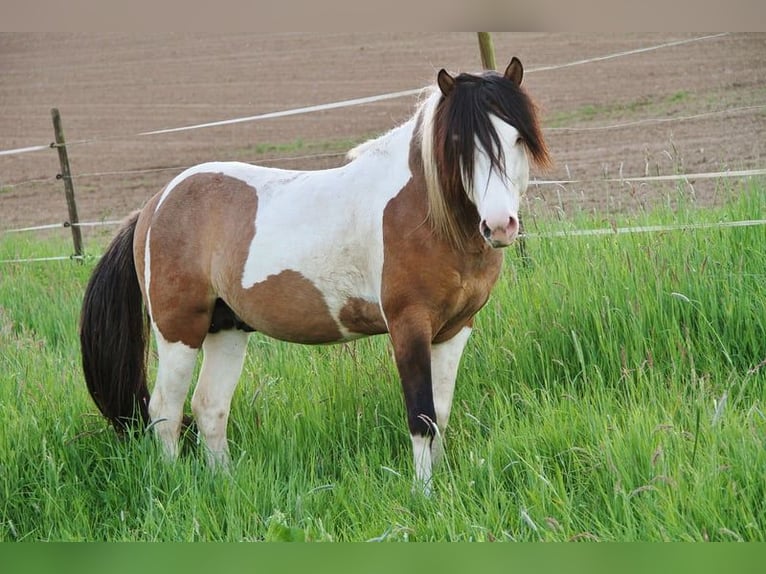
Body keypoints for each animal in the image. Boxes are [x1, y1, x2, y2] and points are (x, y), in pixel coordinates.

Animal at [80, 57, 551, 491]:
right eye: (457, 142)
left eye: (516, 137)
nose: (500, 225)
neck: (424, 212)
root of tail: (154, 205)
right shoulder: (408, 325)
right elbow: (421, 415)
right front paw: (424, 494)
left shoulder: (455, 329)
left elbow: (442, 413)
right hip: (179, 330)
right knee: (165, 410)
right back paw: (176, 485)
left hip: (226, 328)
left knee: (209, 406)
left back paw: (225, 484)